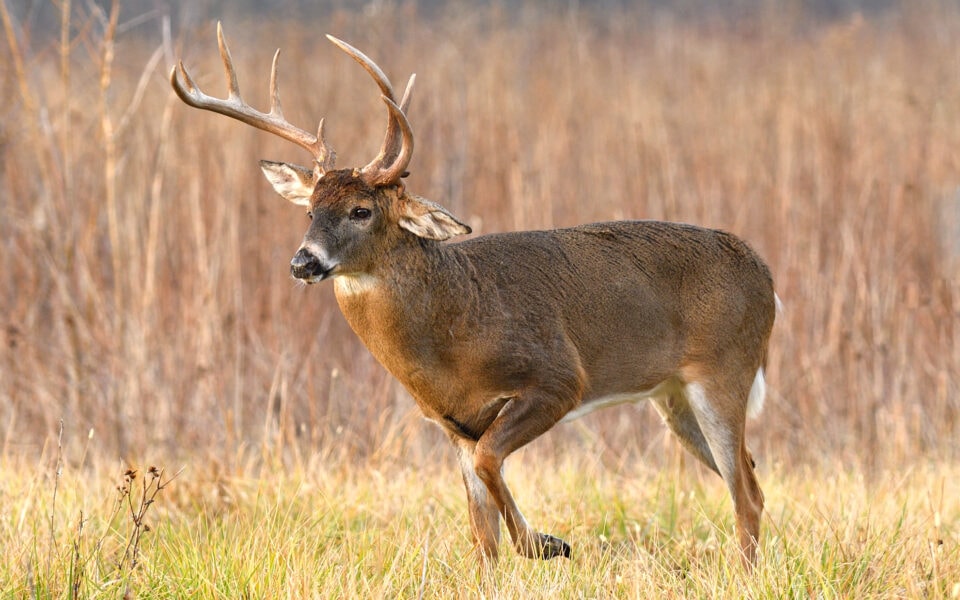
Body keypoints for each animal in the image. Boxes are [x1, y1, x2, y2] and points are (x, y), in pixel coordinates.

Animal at [171, 23, 772, 568]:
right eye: (309, 211)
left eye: (361, 210)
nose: (303, 262)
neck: (453, 328)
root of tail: (766, 275)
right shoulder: (454, 424)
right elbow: (481, 535)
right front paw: (524, 551)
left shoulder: (559, 378)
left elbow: (491, 467)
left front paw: (547, 544)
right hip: (674, 397)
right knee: (752, 479)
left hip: (723, 371)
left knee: (745, 492)